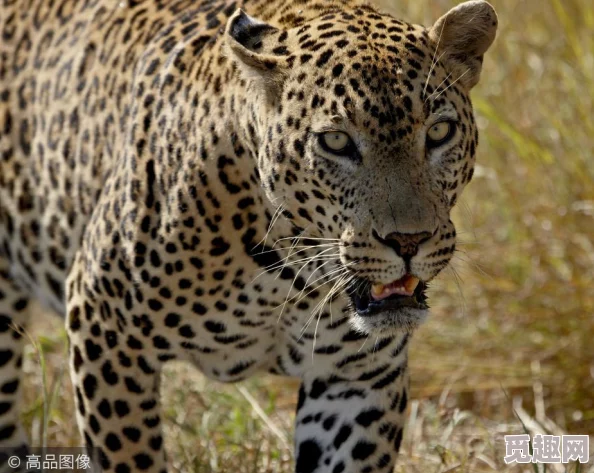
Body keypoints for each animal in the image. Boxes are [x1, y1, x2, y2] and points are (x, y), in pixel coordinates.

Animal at [0, 0, 494, 470]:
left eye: (439, 132)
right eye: (335, 142)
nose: (409, 241)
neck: (290, 273)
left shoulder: (357, 377)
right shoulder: (105, 328)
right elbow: (131, 456)